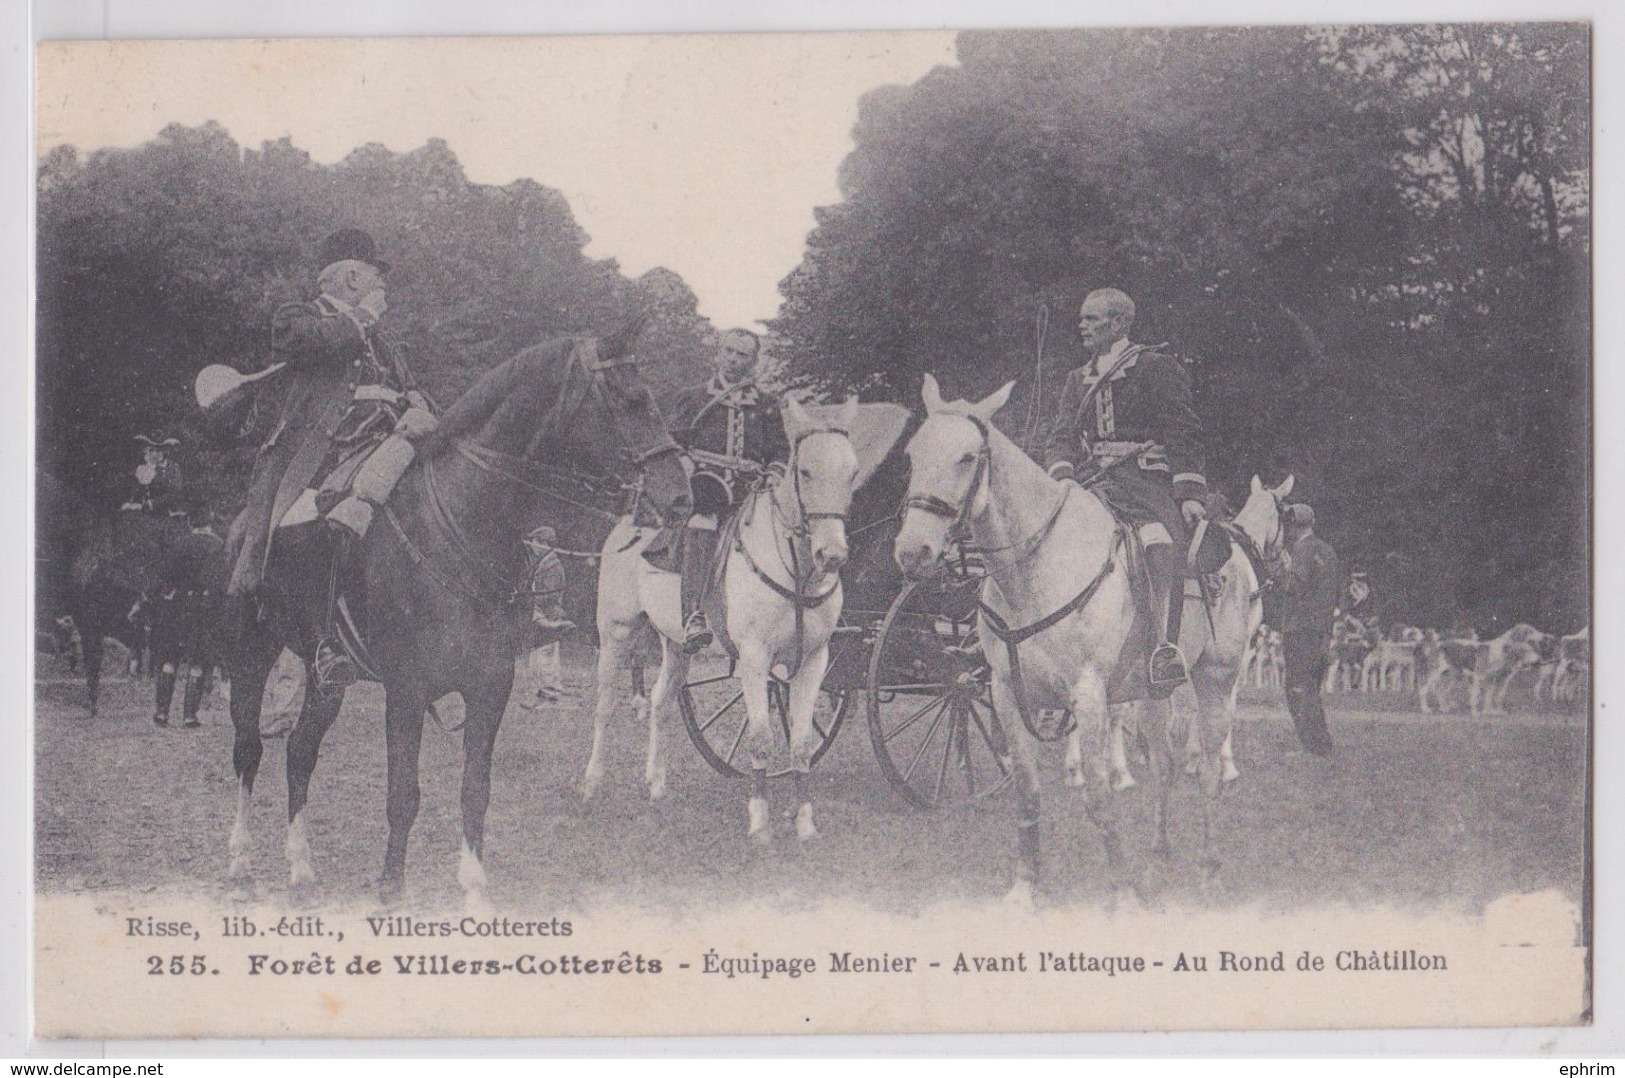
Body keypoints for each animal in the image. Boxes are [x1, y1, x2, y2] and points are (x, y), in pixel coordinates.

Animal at [224, 321, 692, 910]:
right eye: (633, 399)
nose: (681, 497)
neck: (460, 525)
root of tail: (245, 520)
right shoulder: (406, 691)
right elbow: (404, 793)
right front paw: (392, 886)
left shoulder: (490, 687)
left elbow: (475, 790)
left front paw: (473, 883)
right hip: (252, 651)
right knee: (248, 750)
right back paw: (240, 858)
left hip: (325, 674)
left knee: (300, 752)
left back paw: (301, 864)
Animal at [585, 396, 864, 845]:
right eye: (806, 471)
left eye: (853, 471)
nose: (832, 555)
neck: (796, 569)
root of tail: (628, 523)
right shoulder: (754, 659)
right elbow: (761, 737)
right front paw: (760, 820)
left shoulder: (814, 661)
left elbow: (802, 743)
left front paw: (805, 822)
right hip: (616, 633)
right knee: (605, 706)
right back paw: (591, 783)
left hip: (677, 645)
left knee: (660, 703)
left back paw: (656, 783)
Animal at [897, 377, 1248, 904]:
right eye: (913, 453)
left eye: (966, 457)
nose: (912, 552)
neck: (1033, 568)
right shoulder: (1006, 694)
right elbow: (1027, 793)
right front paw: (1024, 887)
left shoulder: (1088, 695)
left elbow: (1099, 796)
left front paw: (1121, 892)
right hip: (1152, 692)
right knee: (1164, 767)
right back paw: (1157, 864)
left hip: (1216, 681)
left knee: (1207, 769)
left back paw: (1210, 870)